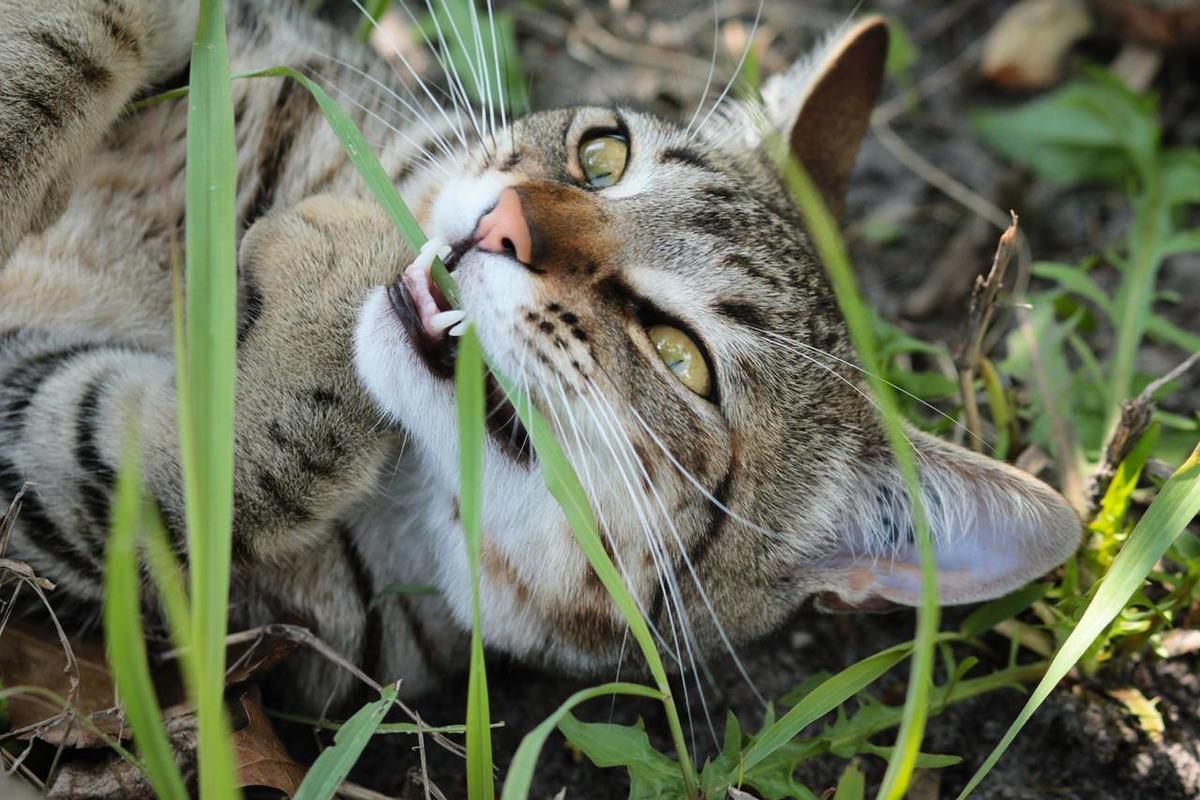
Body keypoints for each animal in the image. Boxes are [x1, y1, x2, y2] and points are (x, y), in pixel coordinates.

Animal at [0, 1, 1084, 714]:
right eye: (602, 154)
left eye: (679, 358)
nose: (507, 222)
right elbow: (75, 35)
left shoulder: (69, 488)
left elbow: (174, 466)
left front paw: (329, 272)